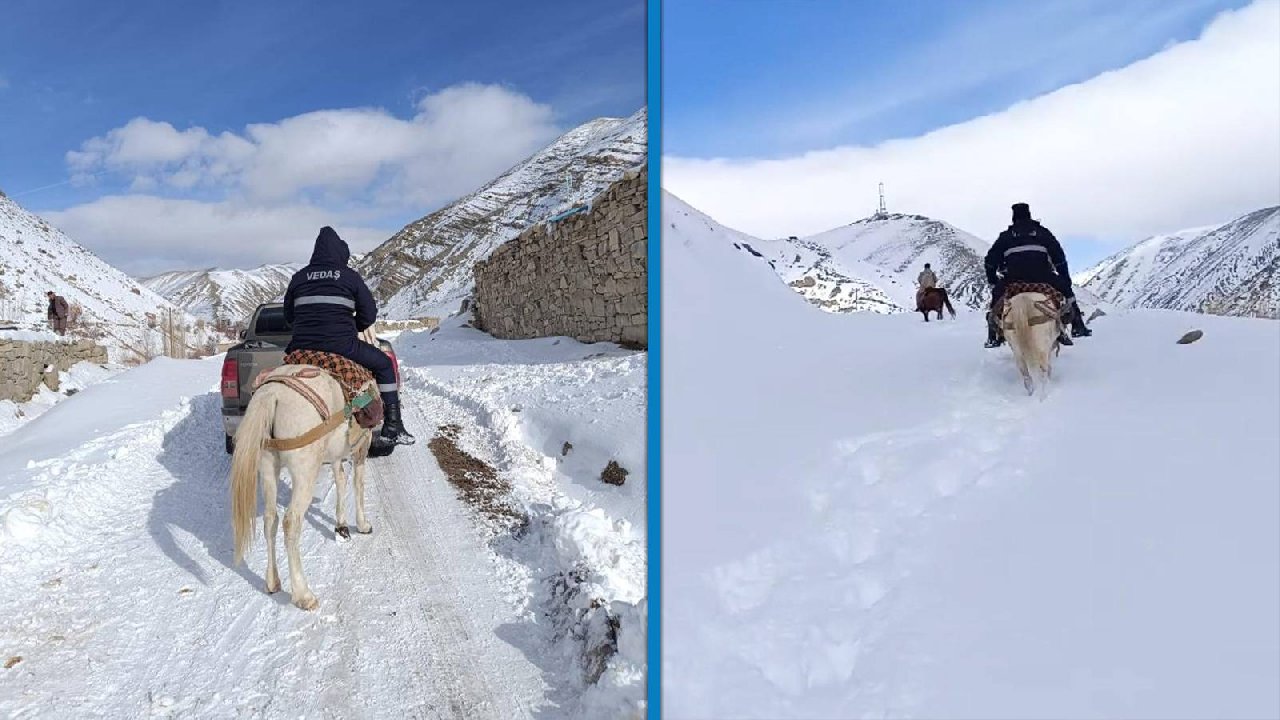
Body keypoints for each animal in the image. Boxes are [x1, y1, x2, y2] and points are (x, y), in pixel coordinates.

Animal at [229, 361, 373, 607]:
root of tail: (273, 393)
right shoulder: (362, 446)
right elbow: (357, 483)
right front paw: (362, 525)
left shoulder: (336, 454)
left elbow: (341, 480)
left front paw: (342, 526)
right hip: (305, 472)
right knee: (291, 521)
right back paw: (303, 594)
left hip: (268, 467)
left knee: (271, 519)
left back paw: (272, 582)